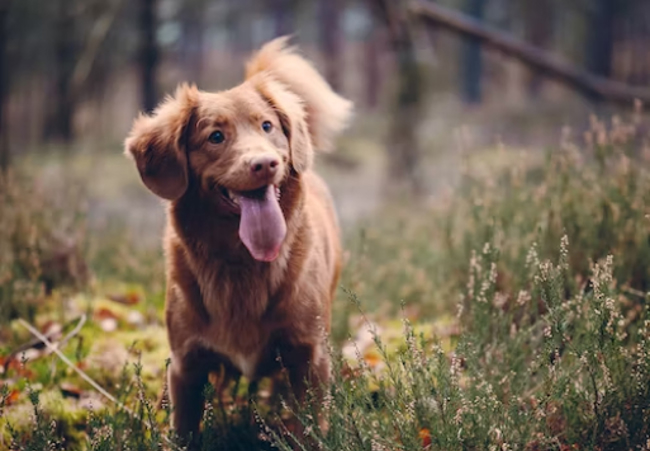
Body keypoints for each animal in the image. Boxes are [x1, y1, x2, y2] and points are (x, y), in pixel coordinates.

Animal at [124, 37, 352, 446]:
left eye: (267, 126)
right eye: (215, 136)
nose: (264, 164)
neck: (240, 262)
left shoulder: (309, 356)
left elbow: (310, 428)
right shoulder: (187, 365)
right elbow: (183, 430)